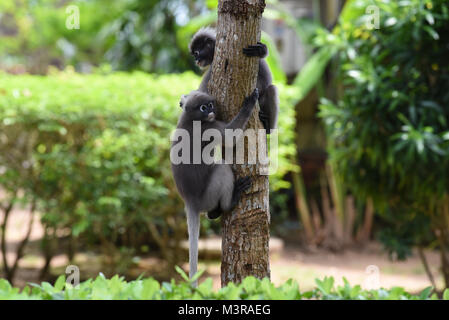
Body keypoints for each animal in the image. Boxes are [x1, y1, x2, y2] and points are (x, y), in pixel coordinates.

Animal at [170, 88, 258, 284]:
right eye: (204, 107)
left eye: (210, 104)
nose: (212, 109)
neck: (190, 118)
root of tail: (190, 202)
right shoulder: (211, 127)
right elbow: (230, 137)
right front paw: (249, 103)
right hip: (208, 194)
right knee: (221, 168)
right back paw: (230, 202)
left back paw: (214, 213)